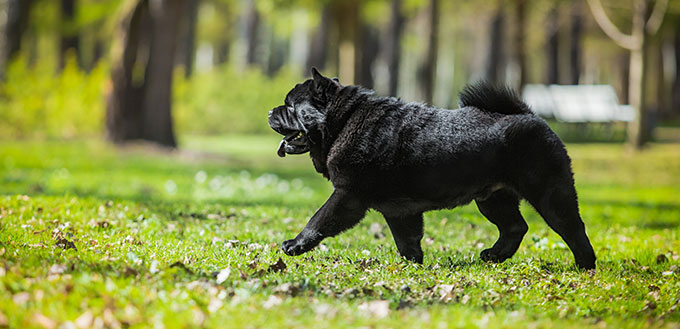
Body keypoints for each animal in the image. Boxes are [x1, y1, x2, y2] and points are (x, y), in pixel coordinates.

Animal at [266, 68, 596, 268]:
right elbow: (407, 240)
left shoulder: (347, 195)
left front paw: (294, 244)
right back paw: (494, 255)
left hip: (549, 195)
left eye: (290, 106)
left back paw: (584, 265)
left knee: (571, 228)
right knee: (515, 227)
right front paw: (414, 264)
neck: (344, 121)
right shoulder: (399, 211)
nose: (271, 111)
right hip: (493, 199)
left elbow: (319, 220)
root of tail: (531, 117)